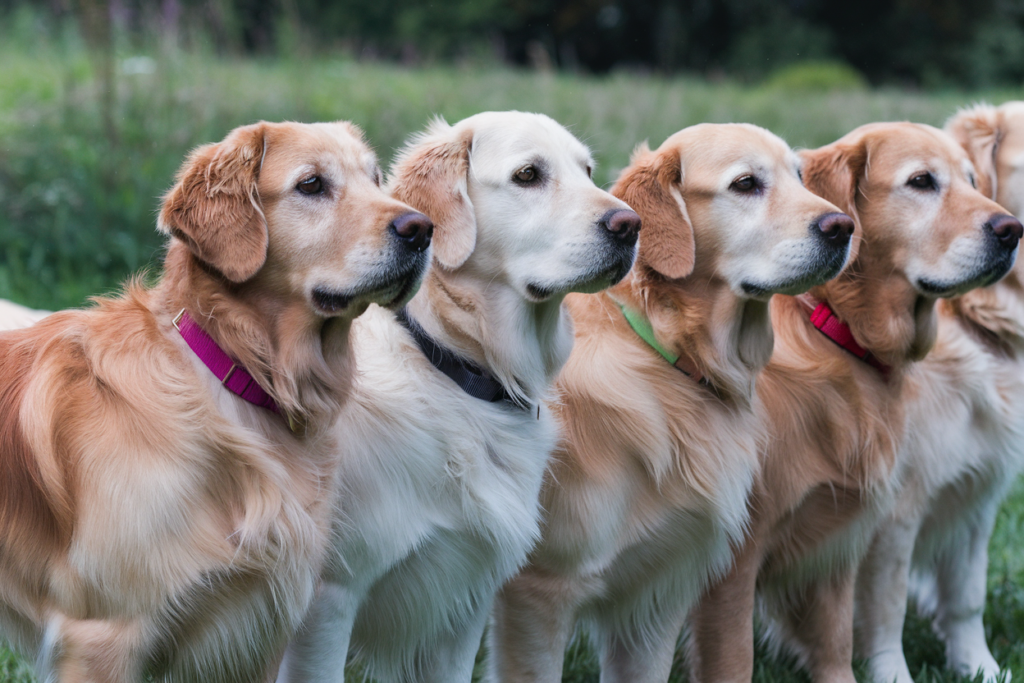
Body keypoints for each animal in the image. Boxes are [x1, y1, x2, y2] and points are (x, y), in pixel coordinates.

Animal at [0, 122, 428, 683]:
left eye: (376, 179)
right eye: (312, 184)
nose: (422, 229)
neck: (236, 378)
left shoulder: (257, 633)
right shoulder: (101, 637)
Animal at [278, 113, 638, 683]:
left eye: (586, 170)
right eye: (529, 174)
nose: (631, 225)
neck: (455, 369)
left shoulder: (464, 601)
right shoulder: (328, 600)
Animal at [483, 124, 851, 683]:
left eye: (800, 176)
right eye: (746, 184)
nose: (845, 227)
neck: (666, 355)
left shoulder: (655, 595)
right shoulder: (539, 593)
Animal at [851, 100, 1024, 683]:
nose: (1010, 232)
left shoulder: (977, 494)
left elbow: (967, 596)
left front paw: (980, 667)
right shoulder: (893, 512)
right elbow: (885, 609)